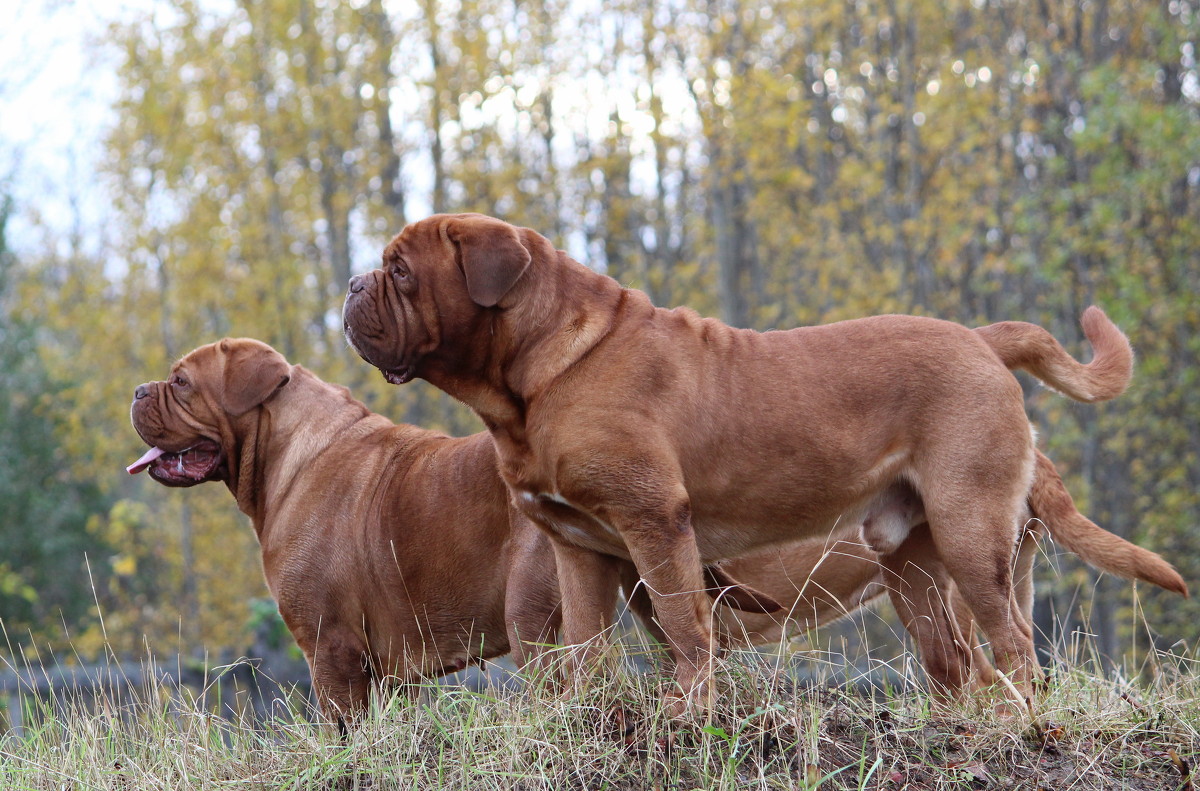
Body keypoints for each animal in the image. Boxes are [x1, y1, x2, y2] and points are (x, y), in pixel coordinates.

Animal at [343, 212, 1185, 710]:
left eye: (401, 269)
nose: (353, 283)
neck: (535, 379)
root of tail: (980, 337)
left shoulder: (655, 523)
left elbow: (684, 629)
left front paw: (690, 713)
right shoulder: (578, 547)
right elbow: (582, 648)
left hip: (971, 533)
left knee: (1011, 645)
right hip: (914, 561)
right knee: (964, 658)